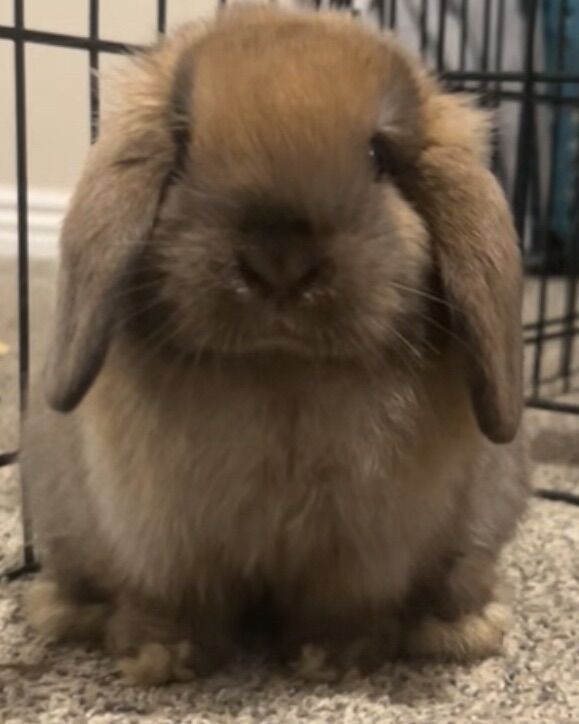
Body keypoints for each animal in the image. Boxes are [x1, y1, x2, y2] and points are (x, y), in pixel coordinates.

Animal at [22, 4, 529, 685]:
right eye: (184, 144)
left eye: (380, 153)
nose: (279, 260)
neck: (280, 367)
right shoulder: (161, 540)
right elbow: (170, 598)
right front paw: (163, 657)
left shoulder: (361, 551)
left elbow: (339, 606)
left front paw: (331, 659)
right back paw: (60, 608)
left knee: (459, 577)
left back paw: (462, 628)